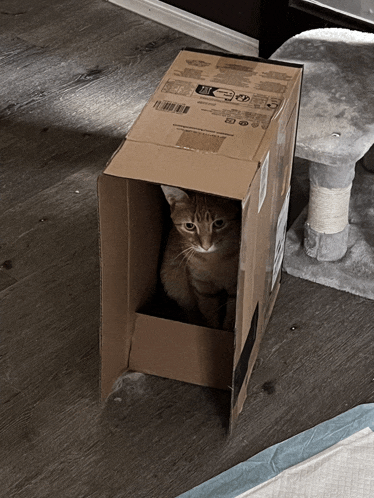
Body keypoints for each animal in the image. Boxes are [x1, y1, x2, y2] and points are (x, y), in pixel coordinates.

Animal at [159, 184, 241, 330]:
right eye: (189, 226)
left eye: (219, 223)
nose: (206, 246)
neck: (213, 259)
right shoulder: (202, 288)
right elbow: (209, 313)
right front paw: (213, 328)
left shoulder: (234, 288)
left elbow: (232, 314)